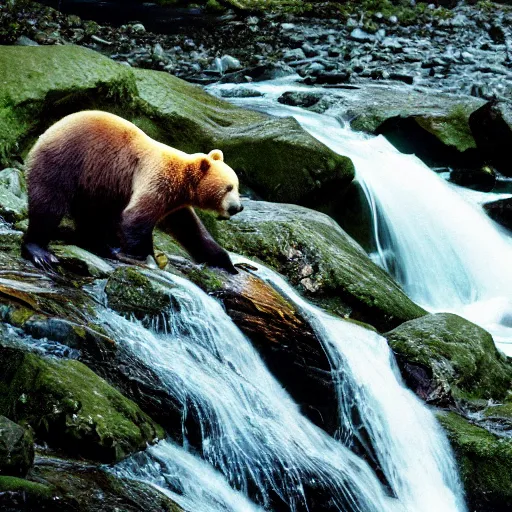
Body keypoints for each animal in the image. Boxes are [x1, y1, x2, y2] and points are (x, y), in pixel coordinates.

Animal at [25, 110, 245, 274]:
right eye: (228, 187)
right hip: (64, 162)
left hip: (93, 185)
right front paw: (144, 256)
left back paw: (99, 244)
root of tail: (47, 131)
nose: (238, 207)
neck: (182, 180)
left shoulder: (175, 202)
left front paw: (226, 262)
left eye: (237, 185)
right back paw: (41, 251)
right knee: (48, 204)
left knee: (92, 215)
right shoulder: (156, 180)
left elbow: (191, 230)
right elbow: (136, 217)